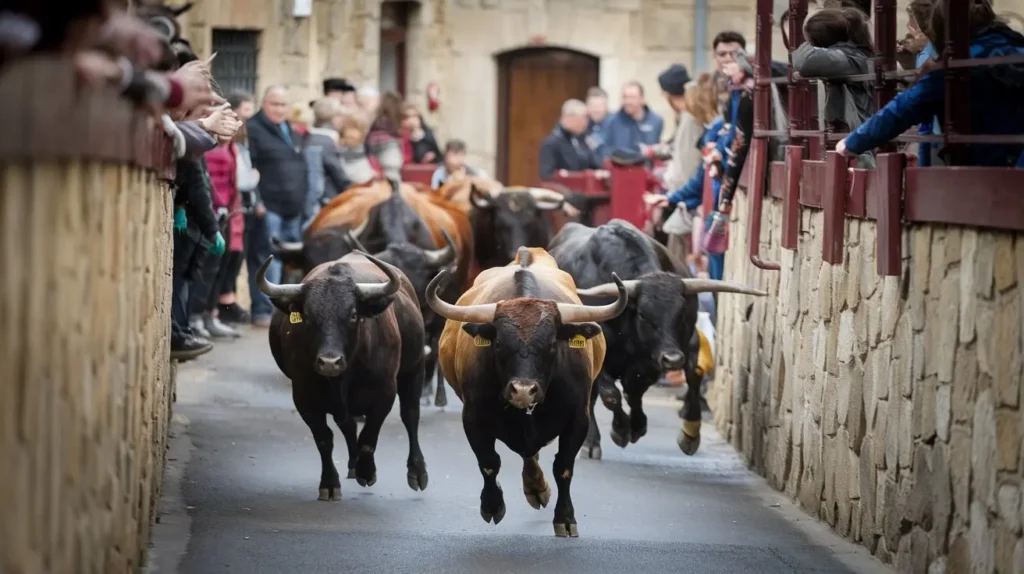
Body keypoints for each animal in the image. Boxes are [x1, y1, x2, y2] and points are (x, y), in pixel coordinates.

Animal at [260, 252, 432, 499]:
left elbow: (369, 436)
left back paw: (417, 472)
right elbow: (324, 439)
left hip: (414, 369)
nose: (329, 362)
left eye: (353, 315)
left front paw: (366, 471)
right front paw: (330, 483)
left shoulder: (385, 393)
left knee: (410, 415)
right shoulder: (304, 397)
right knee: (348, 425)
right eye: (307, 316)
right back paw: (352, 464)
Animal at [428, 247, 626, 536]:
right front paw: (492, 505)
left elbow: (563, 466)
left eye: (553, 343)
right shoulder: (473, 416)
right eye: (499, 343)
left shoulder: (578, 418)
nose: (523, 390)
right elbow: (489, 462)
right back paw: (534, 488)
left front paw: (565, 517)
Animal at [548, 218, 765, 456]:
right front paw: (621, 430)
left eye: (682, 312)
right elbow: (611, 395)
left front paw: (643, 427)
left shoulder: (662, 355)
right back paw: (591, 442)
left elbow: (642, 389)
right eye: (644, 314)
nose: (672, 359)